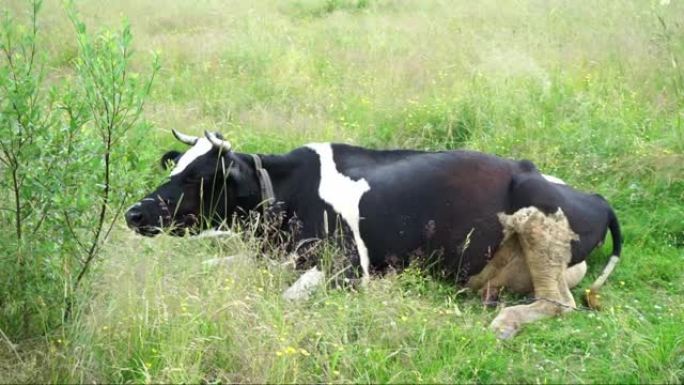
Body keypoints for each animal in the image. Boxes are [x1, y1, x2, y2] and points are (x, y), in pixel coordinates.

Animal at [125, 130, 624, 338]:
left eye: (196, 177)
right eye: (174, 166)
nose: (133, 213)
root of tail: (596, 196)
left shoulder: (346, 267)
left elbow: (284, 299)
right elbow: (215, 265)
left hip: (539, 216)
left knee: (559, 302)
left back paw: (505, 322)